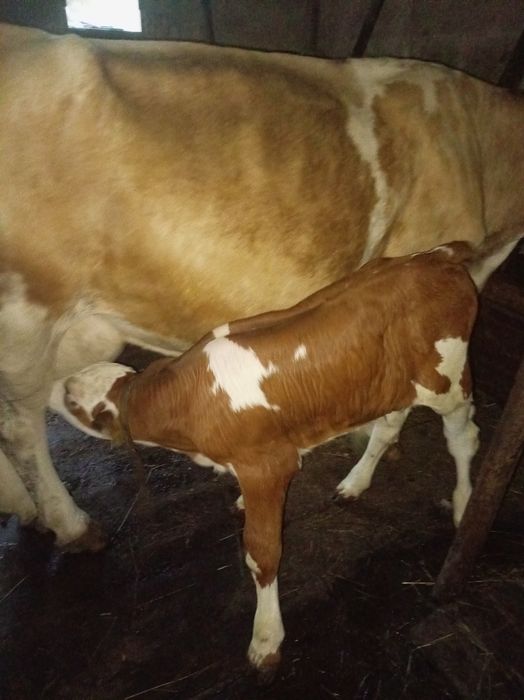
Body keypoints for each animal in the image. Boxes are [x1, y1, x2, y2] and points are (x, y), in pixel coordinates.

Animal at [50, 242, 479, 674]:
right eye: (75, 383)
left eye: (75, 403)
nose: (56, 387)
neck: (185, 400)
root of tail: (438, 256)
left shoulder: (269, 466)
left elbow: (262, 553)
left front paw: (266, 638)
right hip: (392, 382)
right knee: (390, 425)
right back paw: (356, 482)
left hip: (448, 380)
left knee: (463, 438)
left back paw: (464, 506)